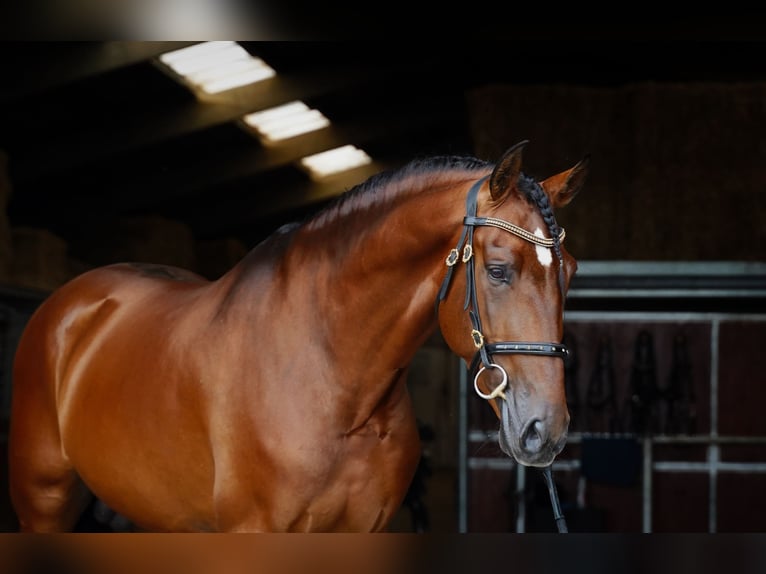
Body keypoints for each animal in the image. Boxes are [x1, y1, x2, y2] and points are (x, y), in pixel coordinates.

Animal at [7, 141, 588, 536]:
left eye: (571, 271)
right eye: (497, 270)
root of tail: (68, 304)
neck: (334, 382)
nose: (547, 430)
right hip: (43, 500)